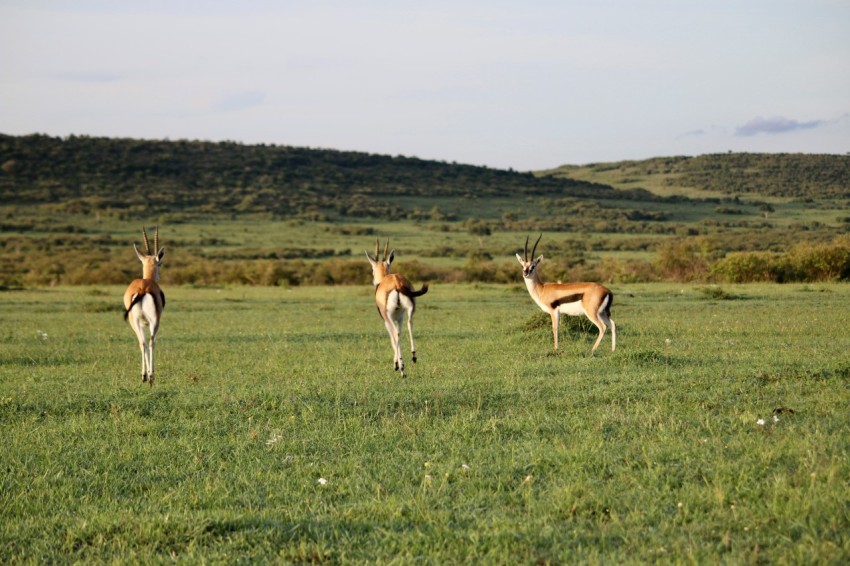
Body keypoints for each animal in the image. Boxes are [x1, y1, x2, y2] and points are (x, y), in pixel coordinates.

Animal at [123, 226, 166, 385]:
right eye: (160, 263)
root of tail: (143, 289)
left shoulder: (141, 323)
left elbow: (143, 343)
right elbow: (150, 342)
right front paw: (150, 373)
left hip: (134, 321)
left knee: (142, 343)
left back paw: (144, 376)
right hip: (154, 321)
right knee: (152, 342)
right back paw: (151, 377)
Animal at [366, 239, 429, 377]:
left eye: (372, 269)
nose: (374, 281)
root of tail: (396, 283)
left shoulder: (386, 320)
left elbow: (392, 338)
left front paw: (396, 364)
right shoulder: (399, 318)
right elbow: (400, 332)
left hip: (388, 316)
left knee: (395, 333)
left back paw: (401, 368)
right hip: (410, 310)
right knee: (409, 325)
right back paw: (413, 356)